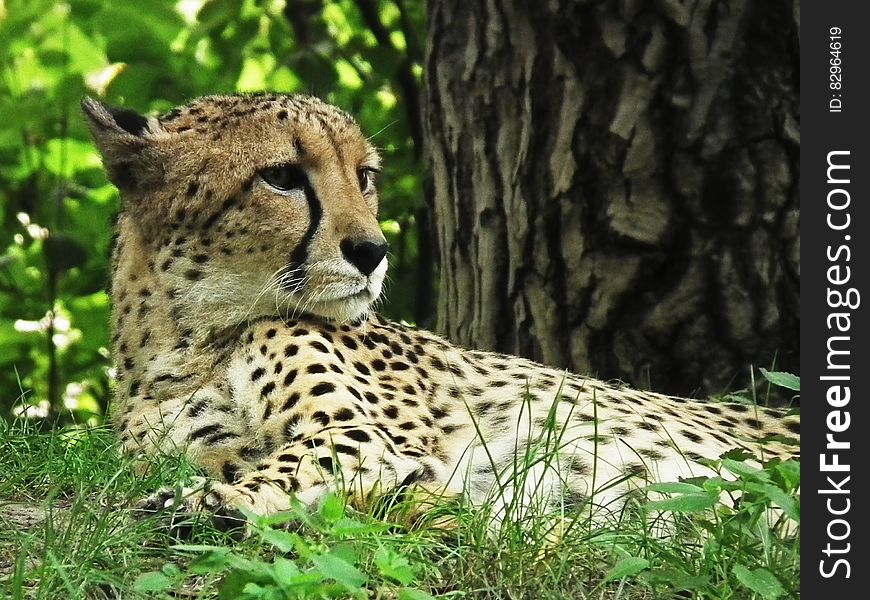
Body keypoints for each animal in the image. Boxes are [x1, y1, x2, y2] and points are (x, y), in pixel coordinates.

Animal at [83, 94, 804, 536]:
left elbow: (284, 469)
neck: (187, 340)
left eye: (365, 176)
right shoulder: (206, 445)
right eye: (282, 177)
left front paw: (204, 504)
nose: (373, 251)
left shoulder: (361, 438)